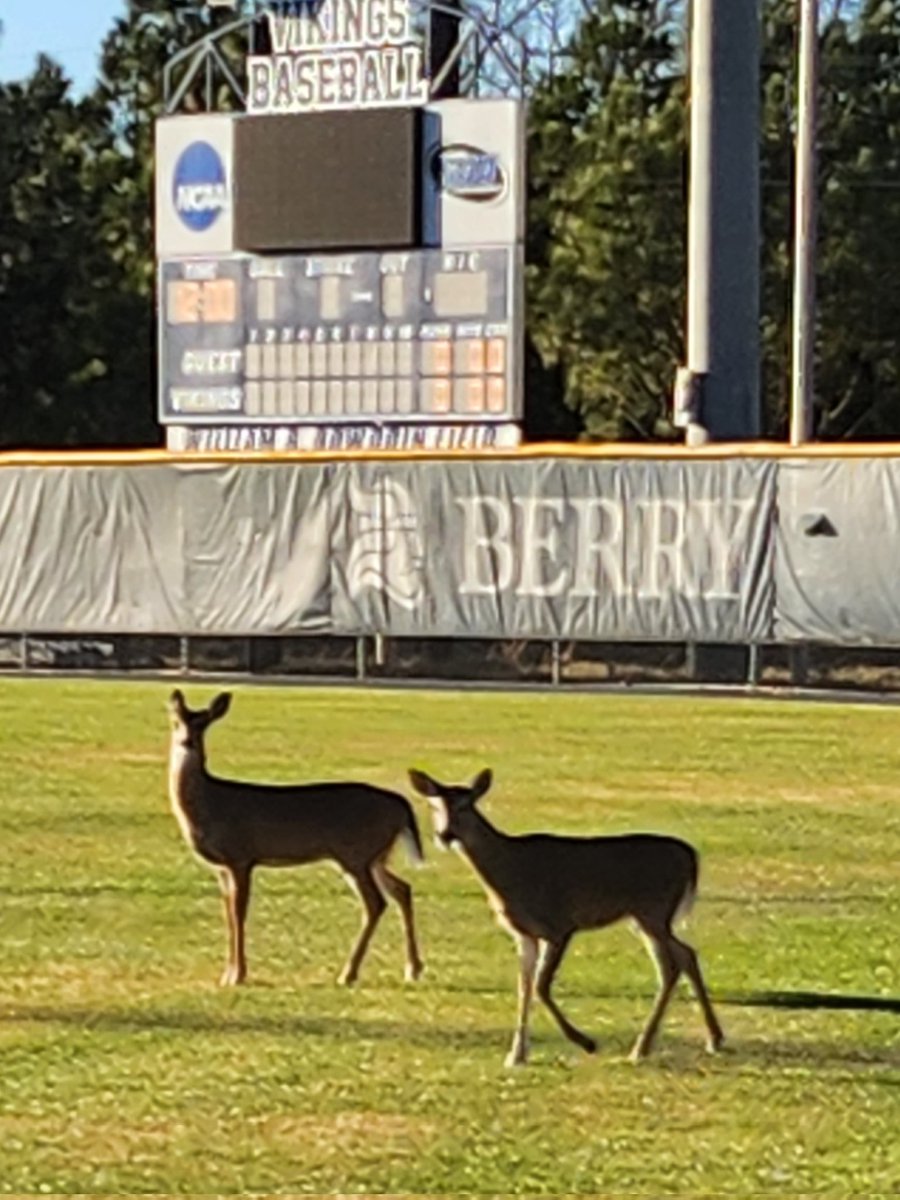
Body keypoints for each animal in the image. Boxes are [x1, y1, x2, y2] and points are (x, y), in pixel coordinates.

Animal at [166, 689, 425, 987]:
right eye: (176, 721)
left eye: (203, 724)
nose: (186, 741)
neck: (209, 803)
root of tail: (400, 806)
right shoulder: (222, 866)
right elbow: (228, 913)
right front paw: (227, 974)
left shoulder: (241, 856)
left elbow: (239, 912)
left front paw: (238, 975)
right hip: (376, 856)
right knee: (402, 889)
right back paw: (412, 969)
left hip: (355, 854)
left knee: (376, 902)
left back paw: (348, 974)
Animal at [408, 767, 724, 1067]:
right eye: (434, 806)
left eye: (465, 806)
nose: (444, 835)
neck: (507, 872)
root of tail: (692, 856)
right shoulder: (524, 934)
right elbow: (524, 987)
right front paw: (517, 1055)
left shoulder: (559, 925)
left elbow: (540, 986)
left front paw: (586, 1042)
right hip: (647, 918)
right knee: (685, 955)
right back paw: (709, 1039)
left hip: (654, 911)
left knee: (672, 964)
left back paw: (644, 1048)